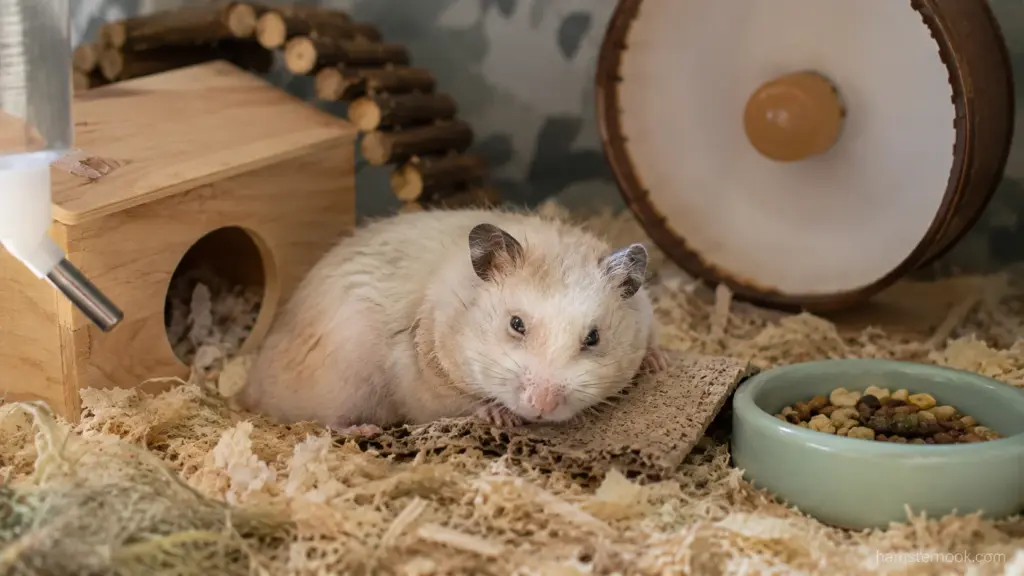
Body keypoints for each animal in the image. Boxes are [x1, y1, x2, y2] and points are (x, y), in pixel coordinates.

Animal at [235, 208, 668, 433]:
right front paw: (497, 414)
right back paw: (364, 429)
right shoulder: (423, 378)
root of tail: (248, 384)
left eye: (593, 338)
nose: (540, 406)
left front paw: (657, 361)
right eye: (516, 324)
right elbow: (456, 401)